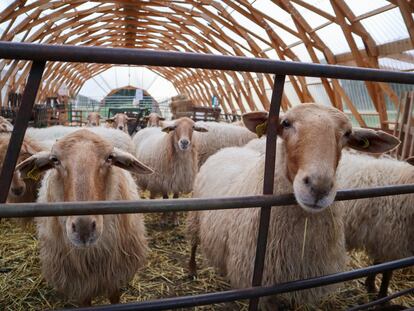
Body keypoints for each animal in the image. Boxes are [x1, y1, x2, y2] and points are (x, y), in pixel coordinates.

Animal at [187, 104, 398, 310]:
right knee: (194, 243)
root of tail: (230, 149)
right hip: (196, 219)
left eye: (347, 133)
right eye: (286, 123)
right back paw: (192, 270)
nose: (319, 187)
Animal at [338, 152, 412, 298]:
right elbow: (387, 272)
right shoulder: (391, 241)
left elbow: (377, 264)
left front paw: (370, 286)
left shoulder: (381, 239)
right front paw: (382, 296)